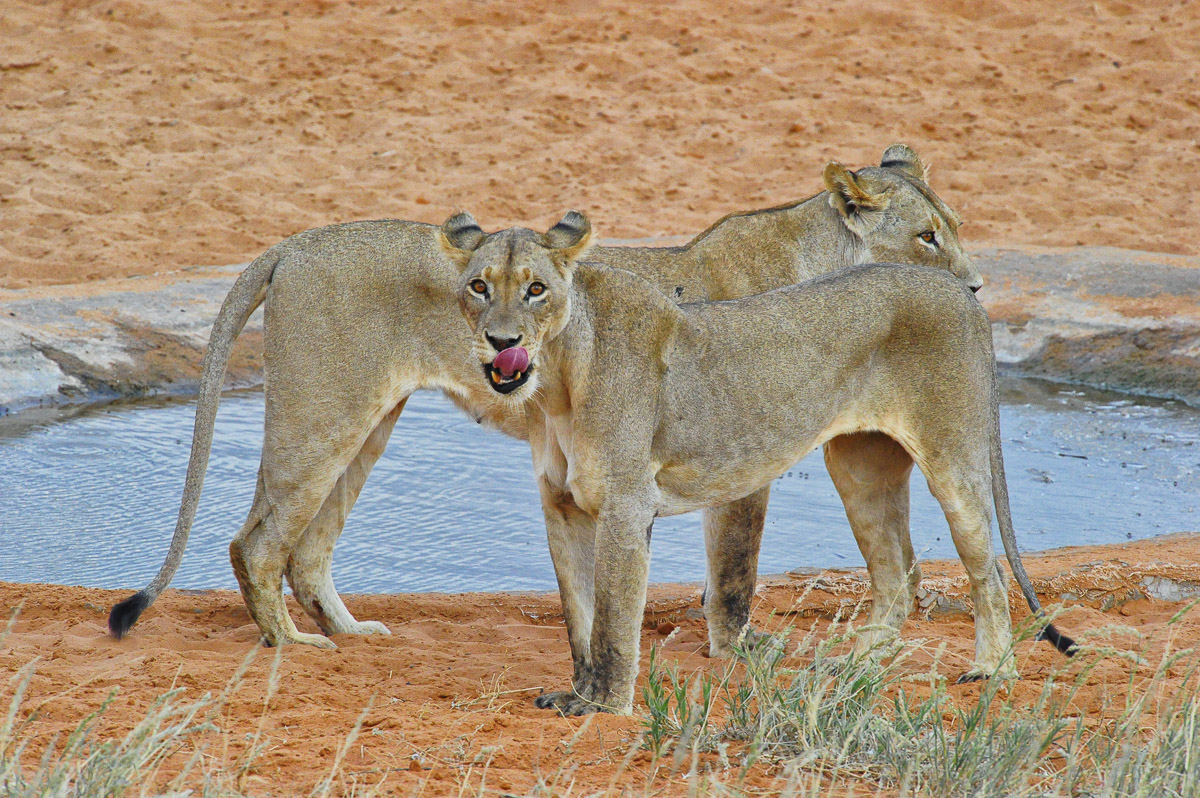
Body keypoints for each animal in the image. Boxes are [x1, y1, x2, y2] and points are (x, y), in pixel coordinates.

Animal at [108, 145, 980, 652]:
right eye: (927, 237)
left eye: (955, 226)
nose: (975, 289)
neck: (824, 264)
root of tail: (293, 242)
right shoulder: (741, 458)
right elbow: (734, 575)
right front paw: (737, 653)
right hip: (323, 413)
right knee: (256, 542)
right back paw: (294, 647)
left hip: (368, 422)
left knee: (308, 547)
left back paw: (352, 631)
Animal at [446, 211, 1075, 716]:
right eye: (479, 286)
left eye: (536, 289)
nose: (502, 341)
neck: (556, 381)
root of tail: (960, 292)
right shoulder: (561, 507)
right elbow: (577, 618)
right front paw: (577, 692)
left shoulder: (626, 505)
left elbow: (612, 621)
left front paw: (605, 706)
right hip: (859, 470)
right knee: (896, 576)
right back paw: (852, 665)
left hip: (953, 460)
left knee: (988, 570)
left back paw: (991, 670)